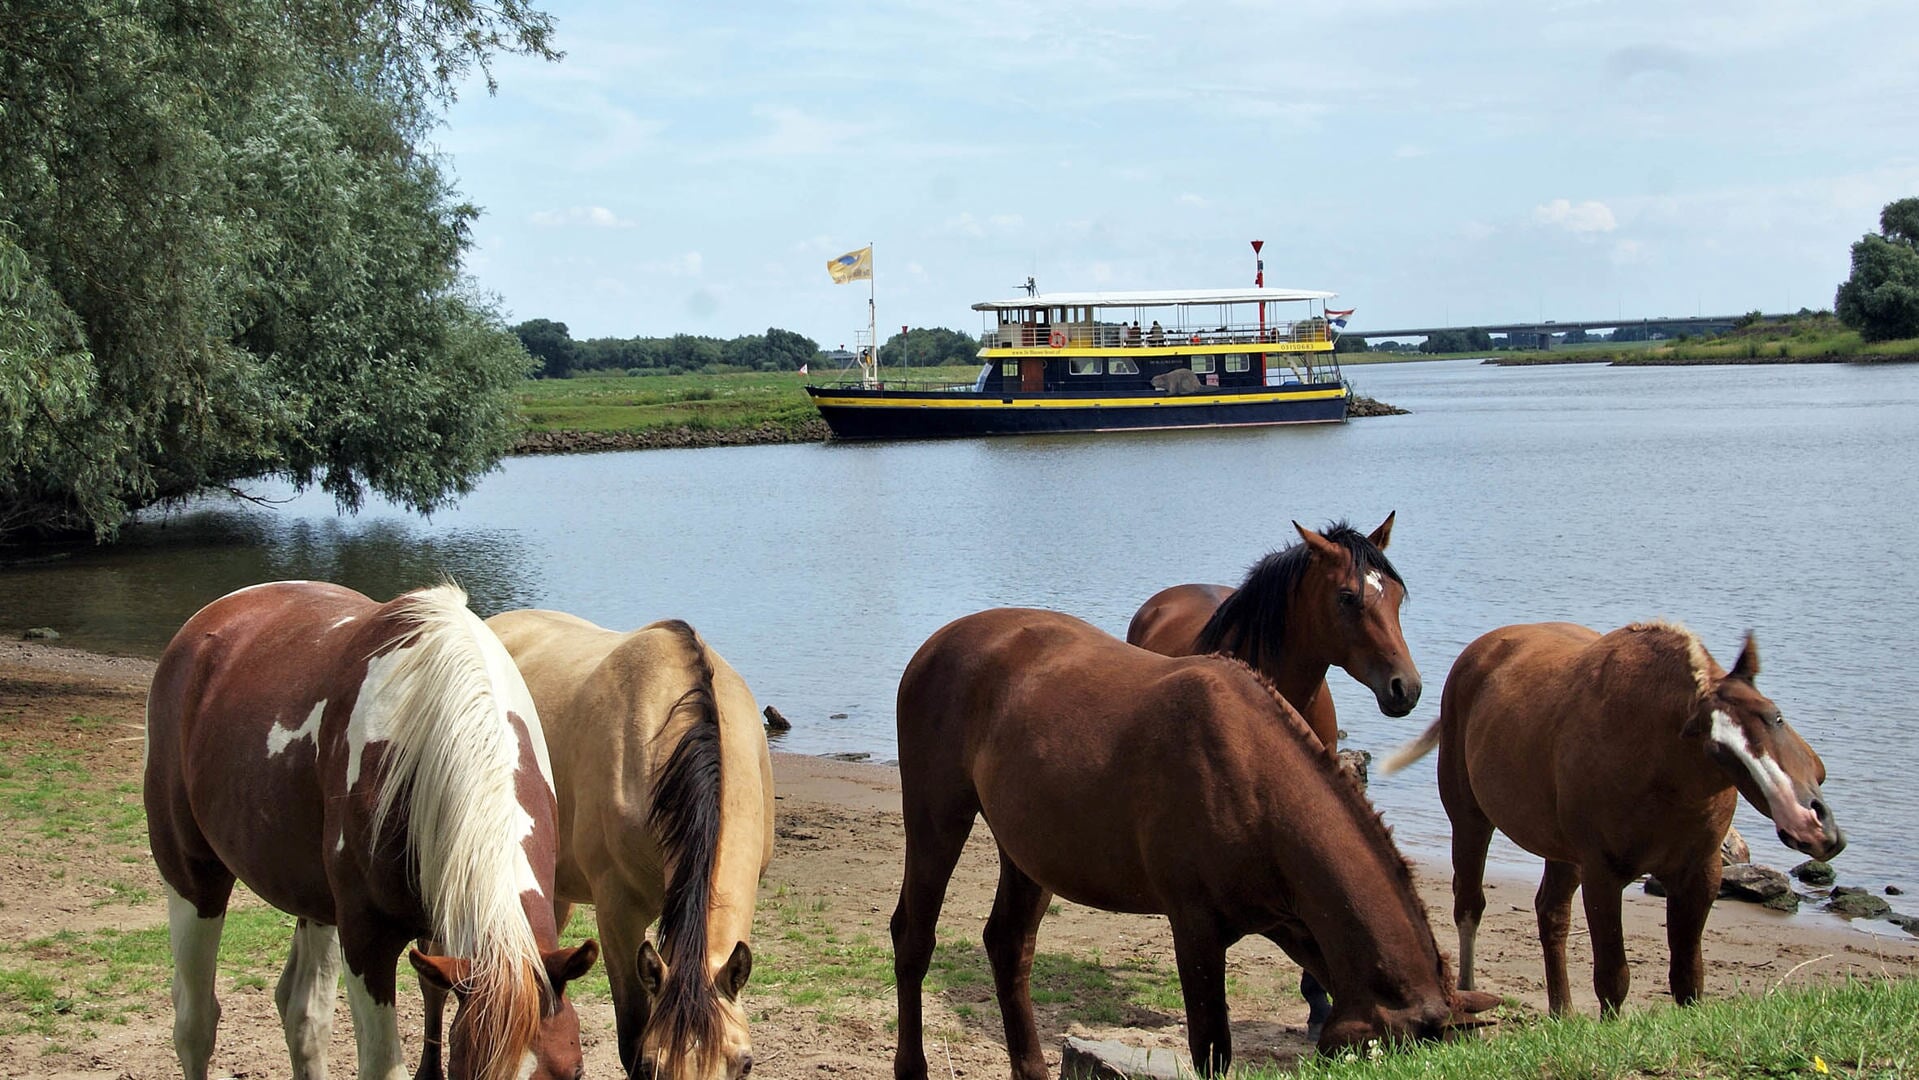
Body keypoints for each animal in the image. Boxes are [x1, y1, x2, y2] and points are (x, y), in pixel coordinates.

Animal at [144, 583, 594, 1080]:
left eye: (575, 1070)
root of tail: (214, 616)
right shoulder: (366, 937)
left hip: (316, 902)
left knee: (302, 1015)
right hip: (191, 877)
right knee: (195, 1021)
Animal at [886, 613, 1496, 1074]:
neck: (1254, 778)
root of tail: (937, 644)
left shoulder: (1294, 925)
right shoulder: (1196, 929)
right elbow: (1211, 1051)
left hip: (1030, 853)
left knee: (1009, 946)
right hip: (937, 816)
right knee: (914, 938)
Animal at [1389, 621, 1849, 1020]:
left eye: (1775, 716)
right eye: (1719, 750)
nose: (1808, 823)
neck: (1660, 764)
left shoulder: (1701, 873)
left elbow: (1688, 977)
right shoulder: (1602, 873)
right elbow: (1613, 977)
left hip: (1562, 853)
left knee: (1551, 915)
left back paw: (1561, 1013)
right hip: (1470, 820)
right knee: (1469, 904)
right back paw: (1469, 990)